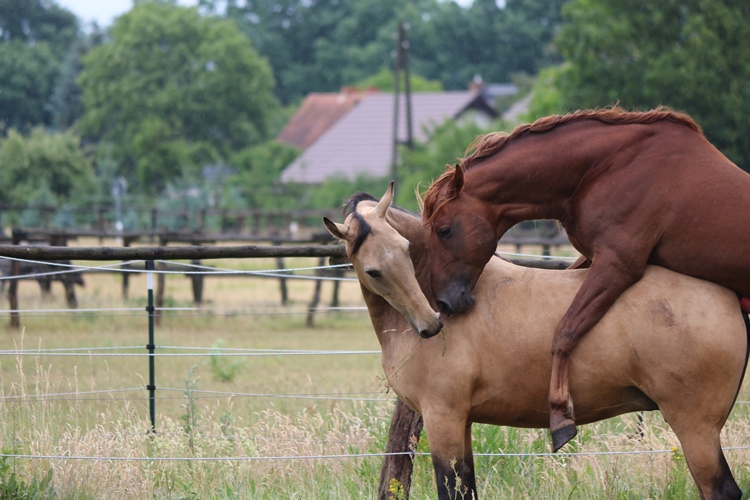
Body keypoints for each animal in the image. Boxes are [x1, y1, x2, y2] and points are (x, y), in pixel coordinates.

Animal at [322, 185, 748, 500]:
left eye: (407, 250)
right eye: (373, 270)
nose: (431, 324)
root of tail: (728, 295)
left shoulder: (443, 420)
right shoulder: (460, 423)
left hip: (696, 429)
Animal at [424, 107, 750, 452]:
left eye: (444, 230)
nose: (444, 302)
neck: (606, 168)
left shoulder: (617, 264)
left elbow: (565, 330)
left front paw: (559, 415)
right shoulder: (593, 258)